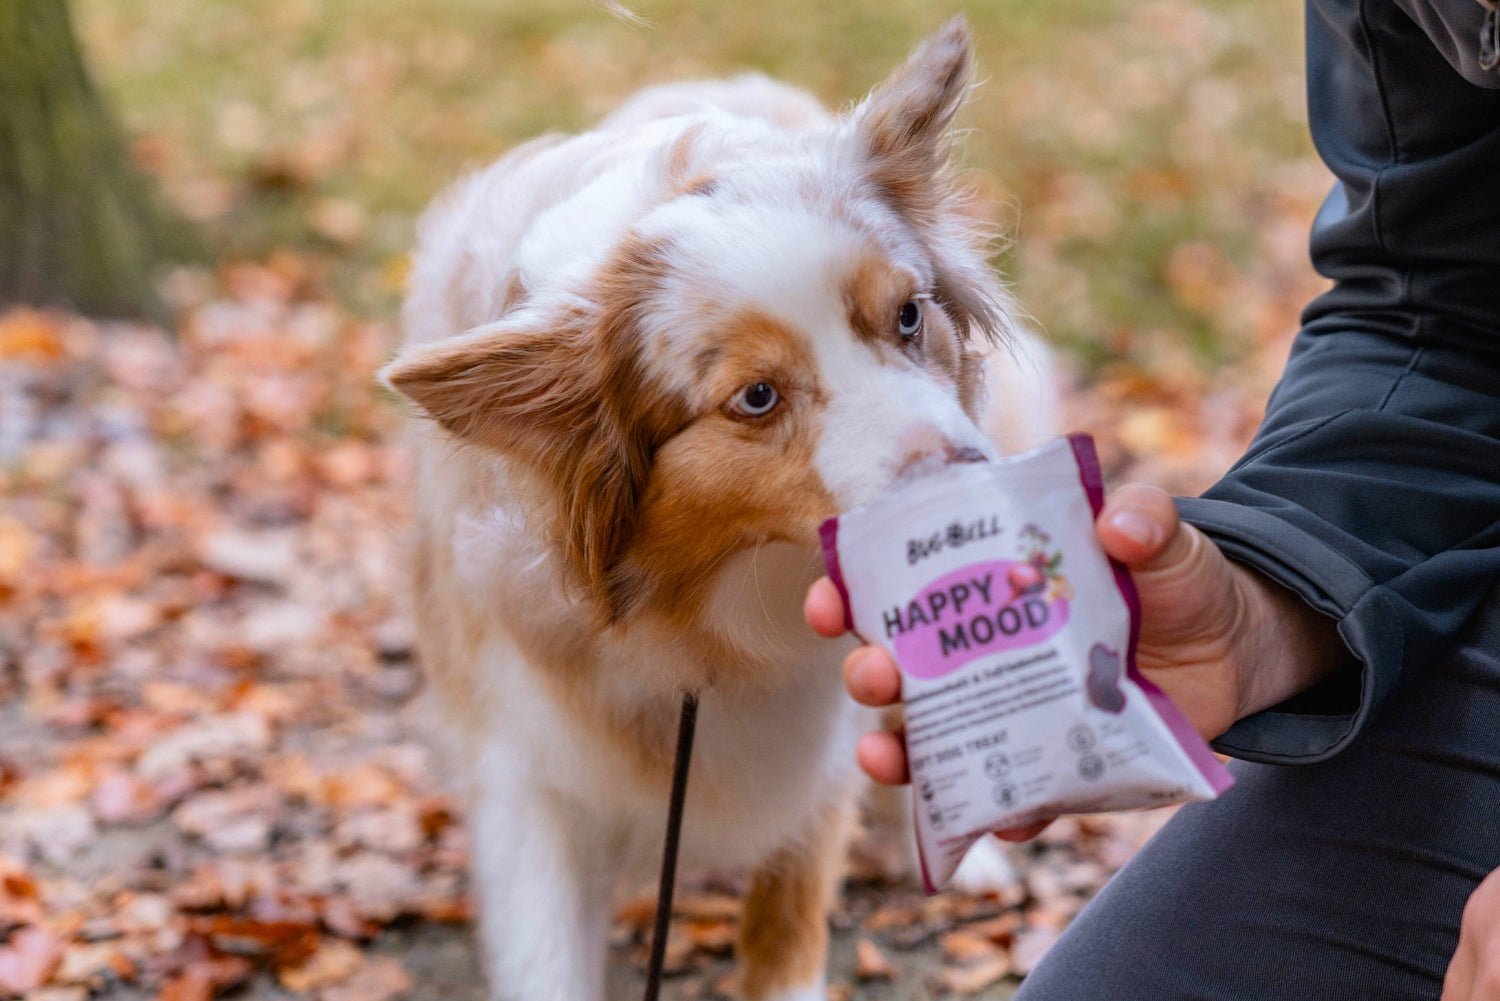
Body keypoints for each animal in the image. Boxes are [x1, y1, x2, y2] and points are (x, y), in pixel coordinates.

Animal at [381, 17, 1050, 1001]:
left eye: (907, 316)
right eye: (757, 397)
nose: (971, 485)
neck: (703, 626)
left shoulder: (813, 762)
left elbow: (785, 940)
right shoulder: (528, 768)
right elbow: (547, 951)